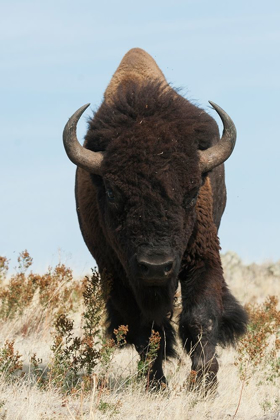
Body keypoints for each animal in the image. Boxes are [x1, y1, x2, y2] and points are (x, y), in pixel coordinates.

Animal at [63, 48, 247, 390]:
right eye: (111, 192)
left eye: (192, 192)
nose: (156, 266)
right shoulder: (118, 273)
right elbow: (144, 329)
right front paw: (156, 385)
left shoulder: (202, 256)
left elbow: (200, 317)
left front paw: (204, 384)